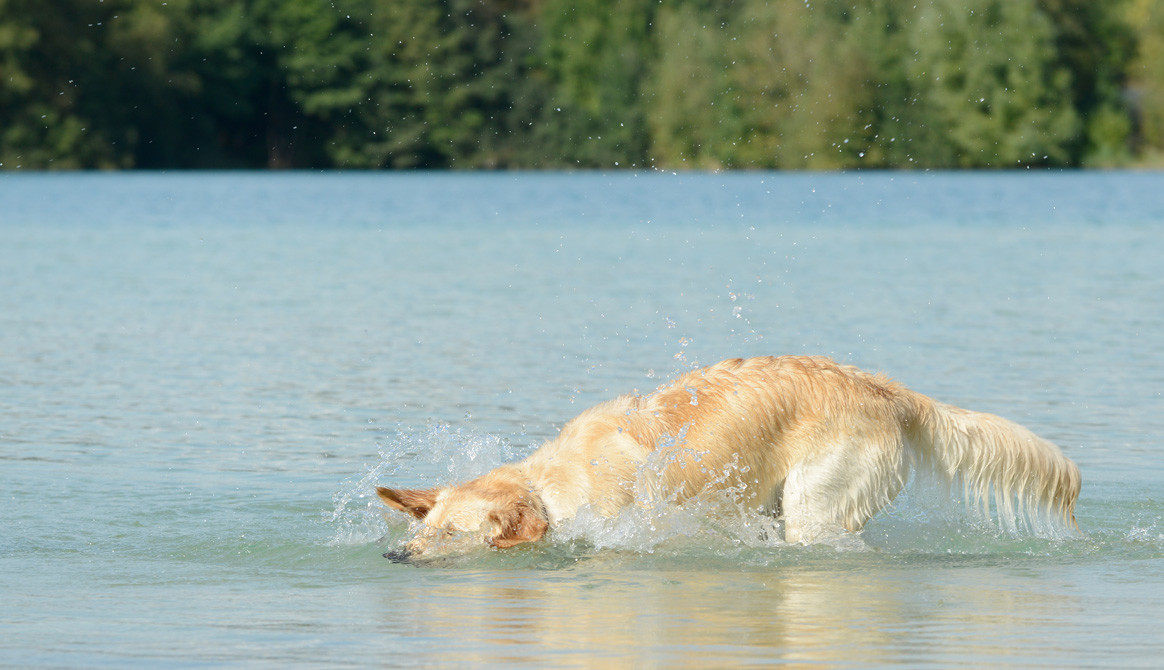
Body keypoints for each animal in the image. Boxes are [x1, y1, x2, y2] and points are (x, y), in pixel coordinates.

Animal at [381, 355, 1080, 560]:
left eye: (451, 535)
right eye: (423, 527)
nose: (394, 557)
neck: (554, 482)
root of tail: (882, 388)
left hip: (812, 508)